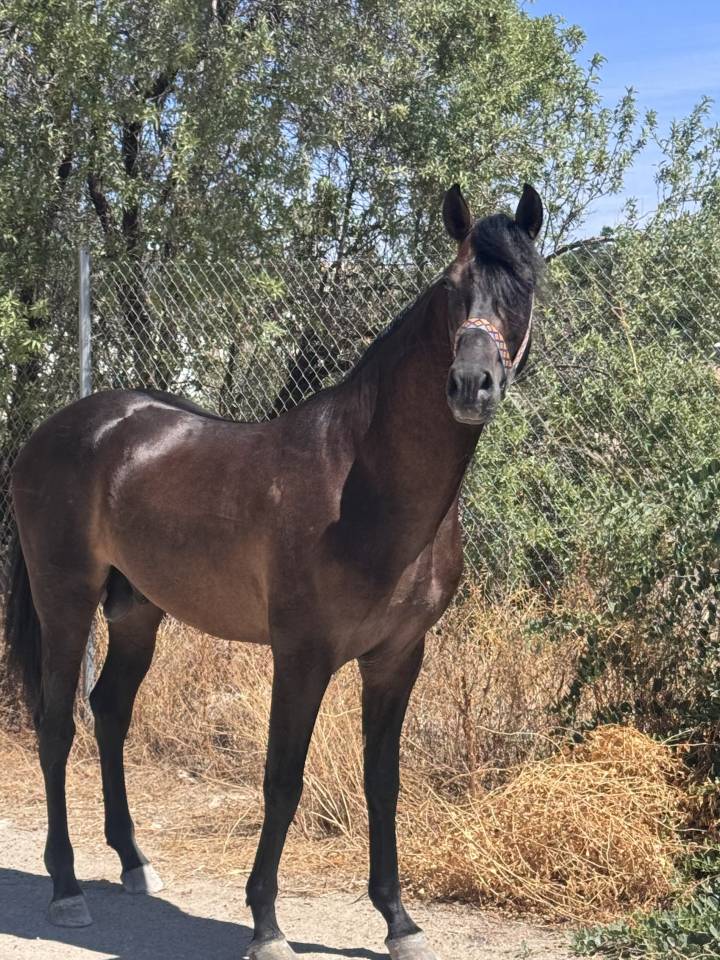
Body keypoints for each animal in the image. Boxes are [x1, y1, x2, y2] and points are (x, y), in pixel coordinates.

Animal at [4, 182, 543, 960]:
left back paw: (134, 863)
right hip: (66, 600)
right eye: (452, 287)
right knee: (56, 725)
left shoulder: (397, 657)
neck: (363, 483)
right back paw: (67, 887)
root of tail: (54, 431)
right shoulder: (302, 655)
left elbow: (384, 782)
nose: (473, 384)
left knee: (109, 712)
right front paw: (265, 924)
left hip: (137, 611)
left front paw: (399, 920)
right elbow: (282, 779)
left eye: (525, 285)